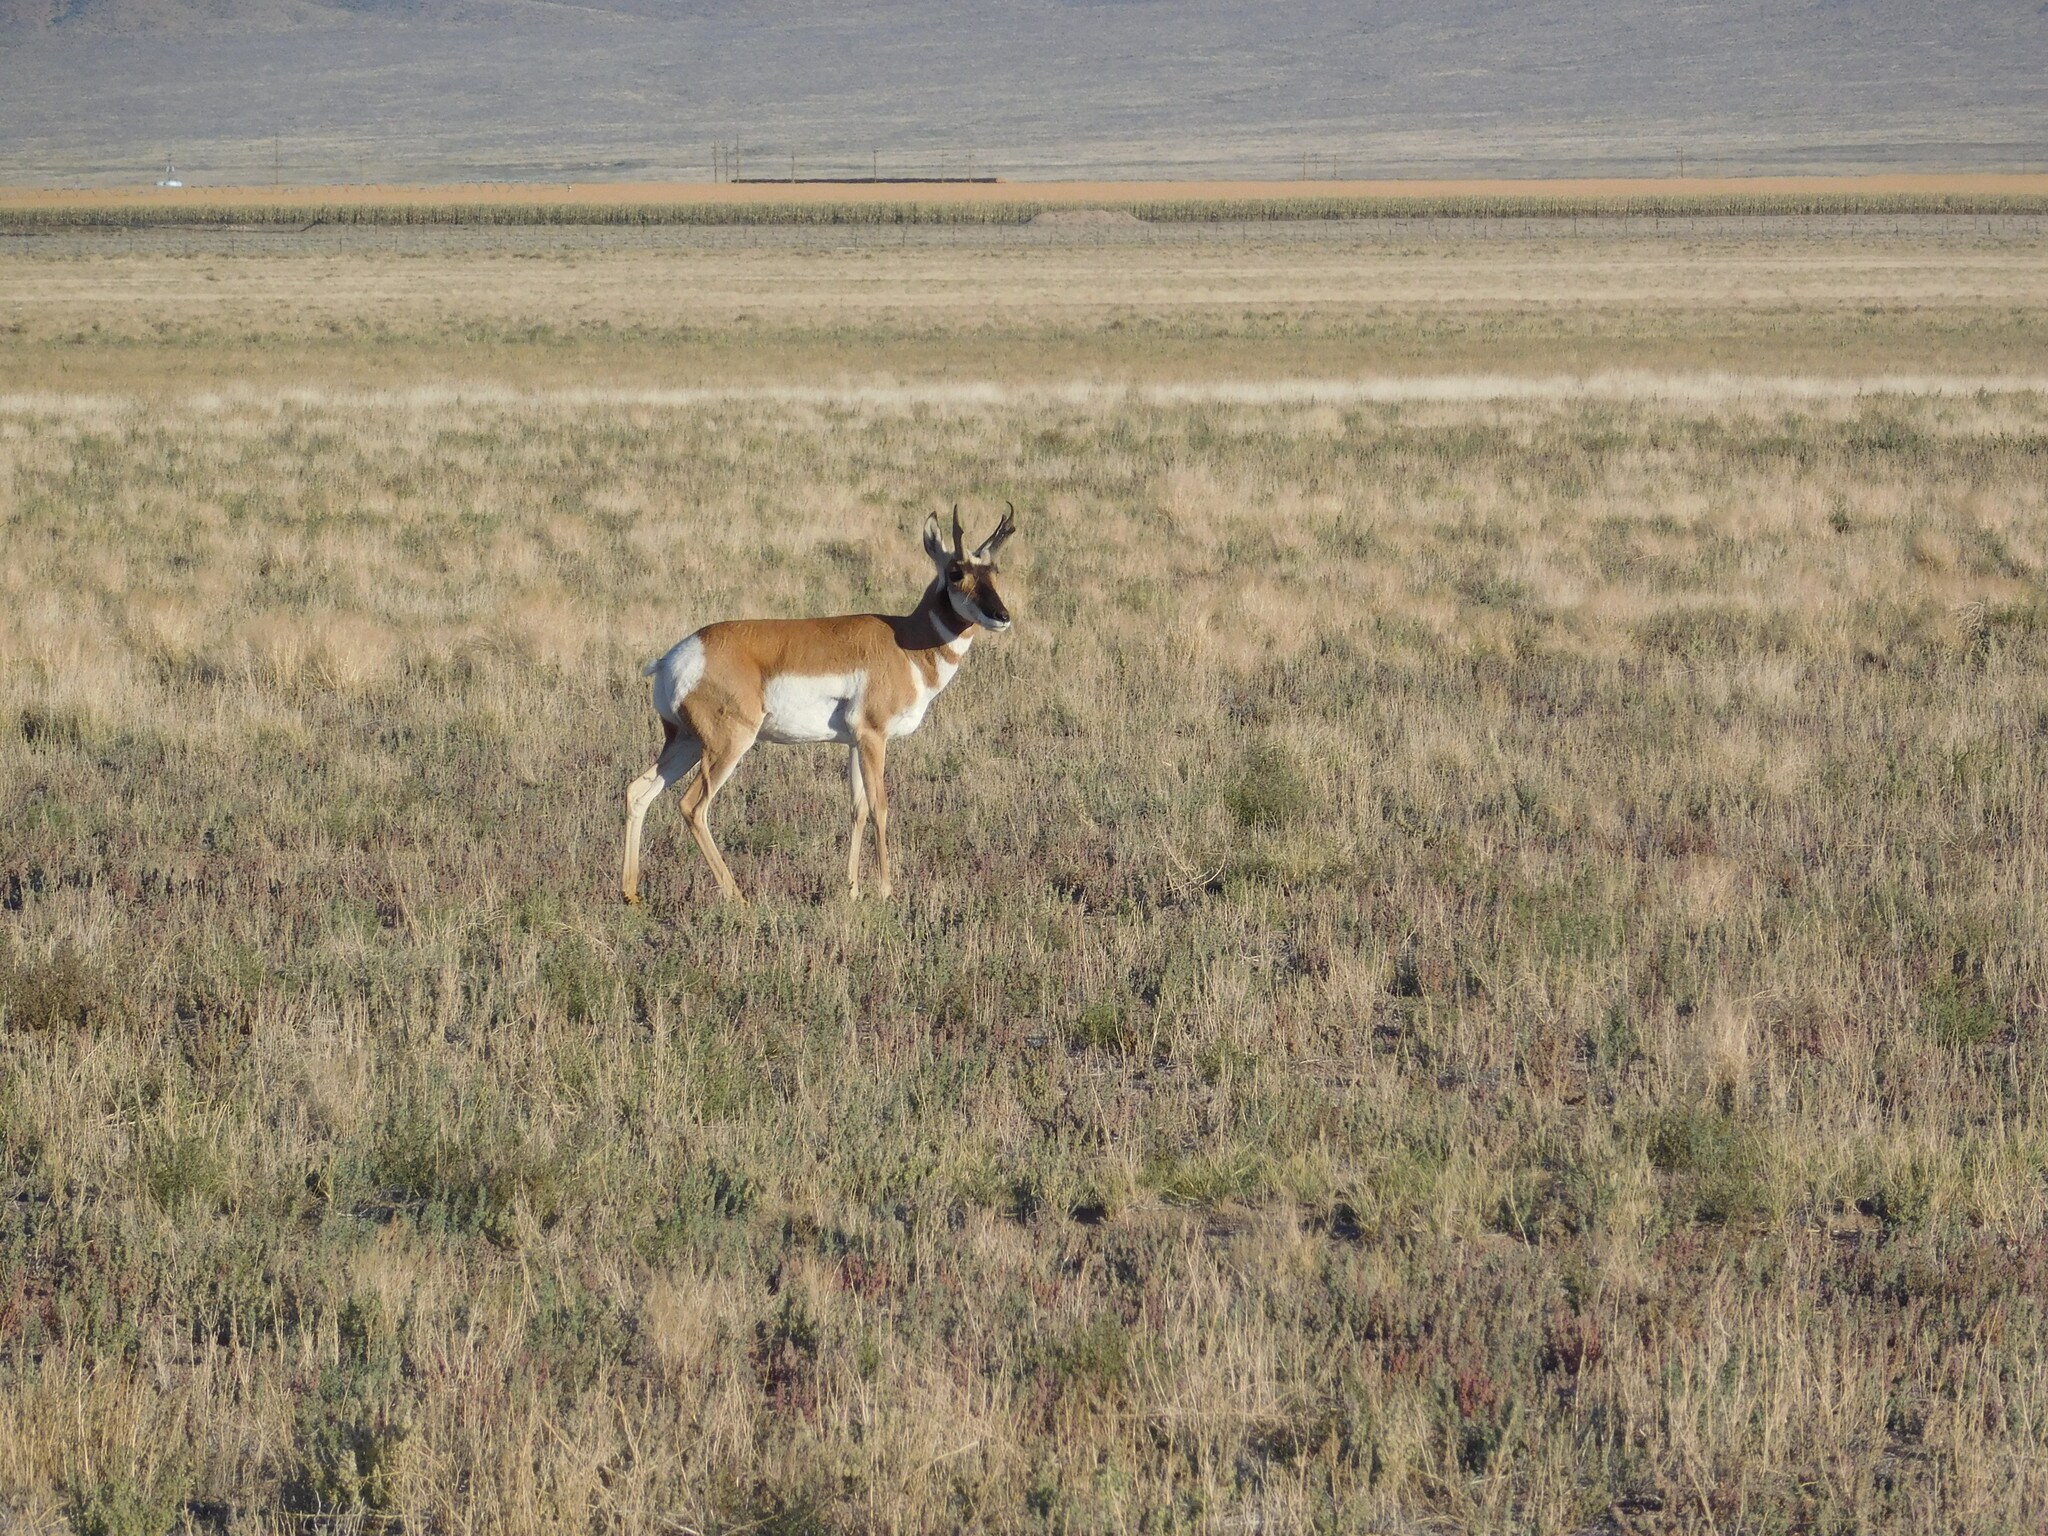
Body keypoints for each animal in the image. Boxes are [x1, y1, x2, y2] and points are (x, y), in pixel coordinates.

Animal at [614, 512, 1015, 901]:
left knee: (638, 792)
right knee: (693, 807)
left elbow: (858, 808)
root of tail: (675, 657)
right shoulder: (874, 737)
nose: (1002, 616)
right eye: (956, 572)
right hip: (726, 747)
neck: (904, 641)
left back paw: (631, 894)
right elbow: (880, 806)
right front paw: (885, 891)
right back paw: (738, 898)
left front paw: (852, 891)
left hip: (685, 743)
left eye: (994, 571)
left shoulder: (854, 743)